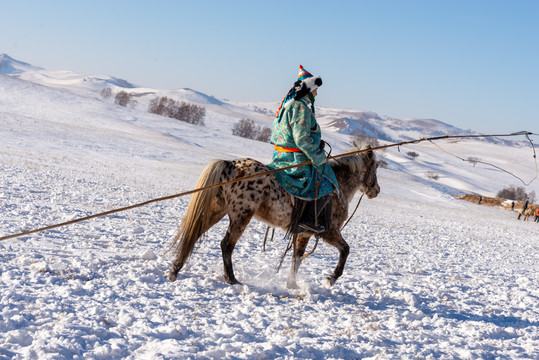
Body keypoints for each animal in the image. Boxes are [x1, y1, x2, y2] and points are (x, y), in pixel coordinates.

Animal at [167, 145, 382, 288]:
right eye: (376, 167)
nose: (376, 190)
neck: (338, 185)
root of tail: (230, 165)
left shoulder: (304, 233)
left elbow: (297, 257)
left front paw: (292, 284)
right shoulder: (329, 231)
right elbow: (345, 250)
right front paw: (332, 278)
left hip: (217, 210)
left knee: (194, 233)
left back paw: (175, 269)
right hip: (241, 216)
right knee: (226, 245)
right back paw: (232, 279)